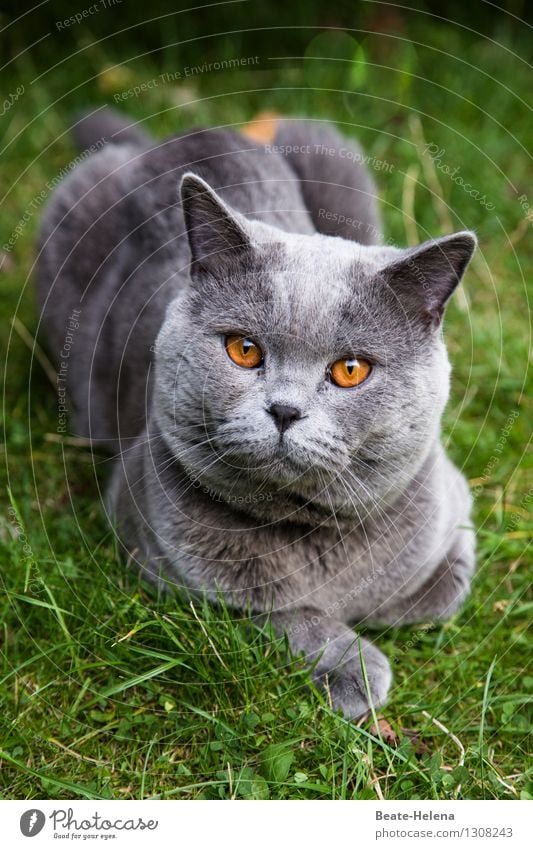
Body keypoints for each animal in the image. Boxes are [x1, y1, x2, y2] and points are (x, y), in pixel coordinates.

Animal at [38, 106, 478, 716]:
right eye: (244, 350)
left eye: (351, 369)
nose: (285, 410)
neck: (308, 532)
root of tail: (174, 136)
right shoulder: (157, 557)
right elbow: (275, 611)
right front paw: (352, 666)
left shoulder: (455, 515)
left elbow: (433, 597)